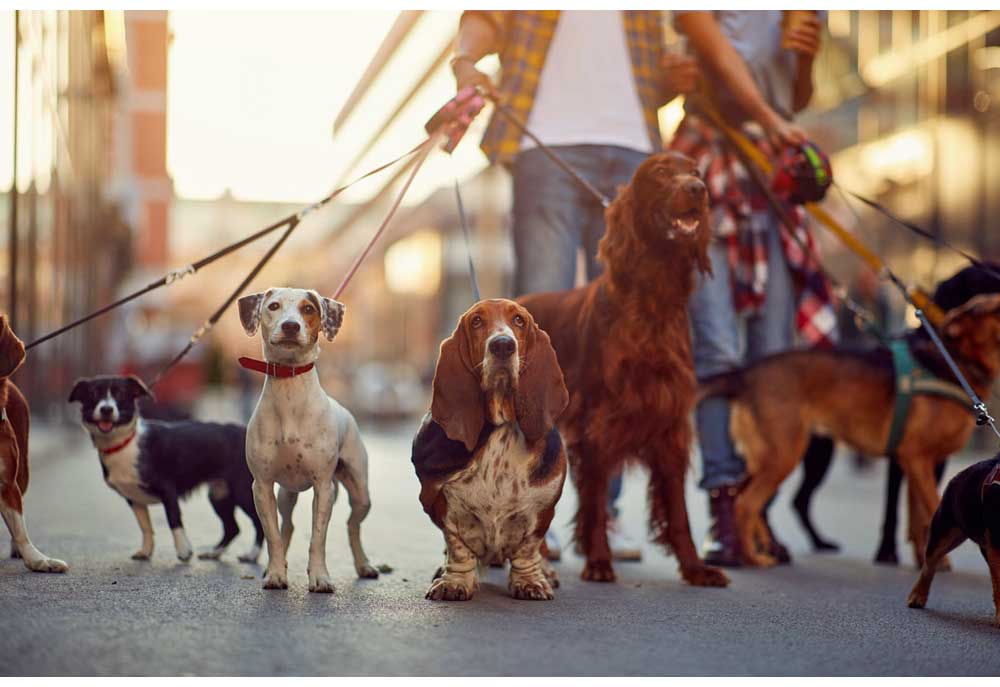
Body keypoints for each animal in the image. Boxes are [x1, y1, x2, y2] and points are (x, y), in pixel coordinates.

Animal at [69, 376, 264, 564]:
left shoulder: (168, 490)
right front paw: (146, 551)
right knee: (233, 528)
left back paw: (252, 555)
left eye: (121, 394)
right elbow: (145, 526)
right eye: (93, 394)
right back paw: (214, 553)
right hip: (219, 494)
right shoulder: (133, 498)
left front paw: (184, 551)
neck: (124, 444)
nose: (106, 409)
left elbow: (174, 520)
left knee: (259, 523)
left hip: (243, 491)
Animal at [238, 288, 378, 592]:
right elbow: (273, 536)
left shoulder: (323, 487)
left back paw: (364, 565)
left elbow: (318, 538)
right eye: (273, 306)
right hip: (285, 494)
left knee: (353, 526)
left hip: (360, 493)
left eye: (309, 309)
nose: (291, 326)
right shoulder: (262, 486)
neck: (290, 391)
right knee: (287, 526)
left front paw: (320, 577)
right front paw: (275, 574)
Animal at [520, 153, 732, 588]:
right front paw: (599, 561)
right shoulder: (598, 422)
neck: (653, 301)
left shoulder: (670, 425)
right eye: (661, 173)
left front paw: (695, 568)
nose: (698, 189)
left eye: (696, 172)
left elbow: (679, 513)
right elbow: (596, 503)